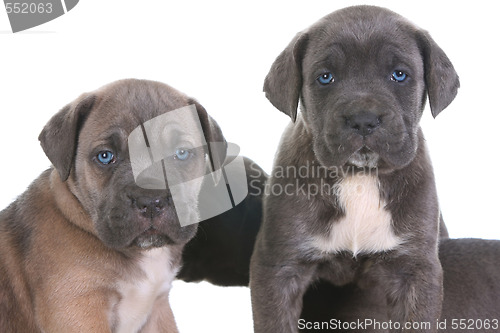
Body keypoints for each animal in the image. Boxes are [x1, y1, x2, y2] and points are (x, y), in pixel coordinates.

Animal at [252, 5, 458, 332]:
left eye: (399, 75)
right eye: (325, 77)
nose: (363, 119)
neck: (360, 177)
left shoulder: (415, 271)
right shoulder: (279, 268)